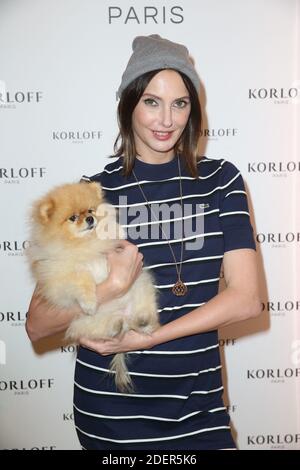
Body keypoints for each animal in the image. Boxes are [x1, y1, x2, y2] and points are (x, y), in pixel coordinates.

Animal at [27, 182, 159, 392]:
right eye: (73, 218)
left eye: (90, 211)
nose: (90, 219)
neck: (84, 244)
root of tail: (125, 315)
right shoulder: (62, 277)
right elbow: (82, 279)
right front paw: (89, 302)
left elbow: (108, 231)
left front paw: (115, 230)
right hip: (85, 323)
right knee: (110, 329)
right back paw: (116, 325)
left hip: (141, 288)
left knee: (145, 319)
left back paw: (142, 322)